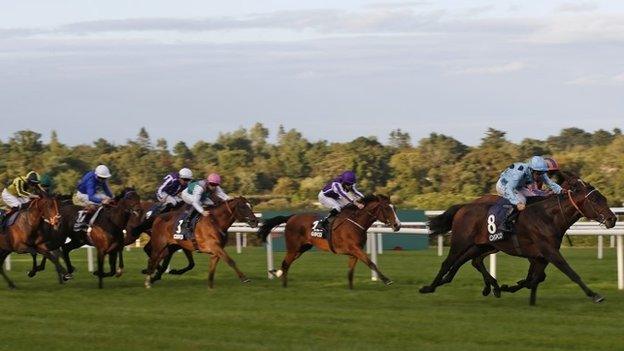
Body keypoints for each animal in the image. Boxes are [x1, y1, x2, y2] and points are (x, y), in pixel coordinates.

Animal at [258, 195, 400, 288]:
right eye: (387, 209)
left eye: (395, 208)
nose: (397, 225)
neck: (356, 222)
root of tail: (291, 217)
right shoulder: (355, 249)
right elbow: (371, 263)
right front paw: (386, 280)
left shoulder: (354, 252)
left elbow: (350, 272)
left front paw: (351, 289)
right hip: (293, 247)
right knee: (286, 263)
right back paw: (283, 283)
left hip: (302, 248)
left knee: (287, 263)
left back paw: (278, 274)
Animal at [422, 179, 616, 306]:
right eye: (594, 200)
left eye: (604, 199)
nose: (612, 219)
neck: (548, 217)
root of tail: (463, 207)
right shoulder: (549, 251)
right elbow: (571, 273)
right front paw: (594, 295)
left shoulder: (541, 256)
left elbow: (535, 278)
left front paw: (513, 289)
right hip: (461, 242)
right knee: (448, 262)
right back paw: (429, 287)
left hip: (482, 245)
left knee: (471, 261)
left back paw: (487, 286)